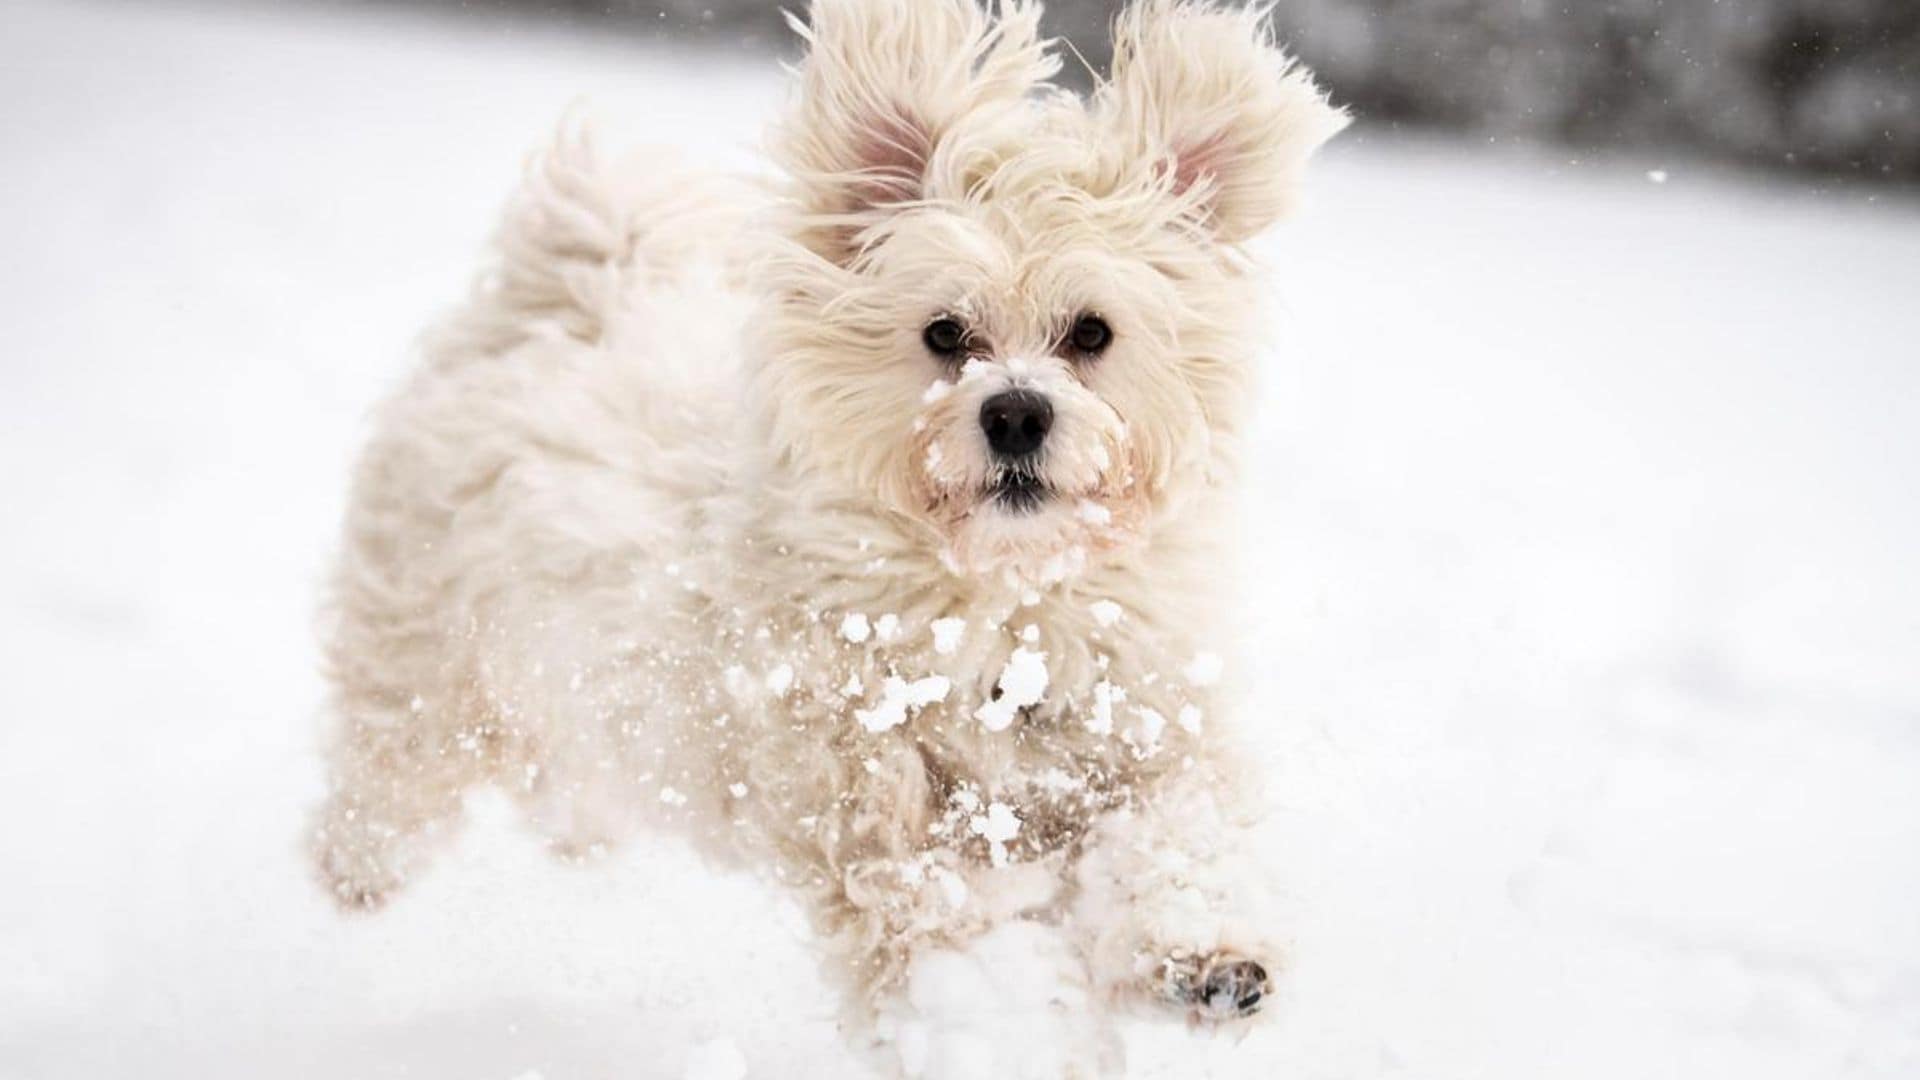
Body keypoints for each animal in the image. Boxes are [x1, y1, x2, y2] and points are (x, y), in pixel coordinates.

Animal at [311, 2, 1336, 1068]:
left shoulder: (1144, 729)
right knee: (388, 773)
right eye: (944, 332)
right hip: (427, 669)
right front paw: (1009, 1050)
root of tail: (561, 303)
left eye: (1091, 332)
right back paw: (360, 874)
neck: (996, 606)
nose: (1015, 413)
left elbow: (1180, 831)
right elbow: (964, 954)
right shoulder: (879, 822)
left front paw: (1206, 951)